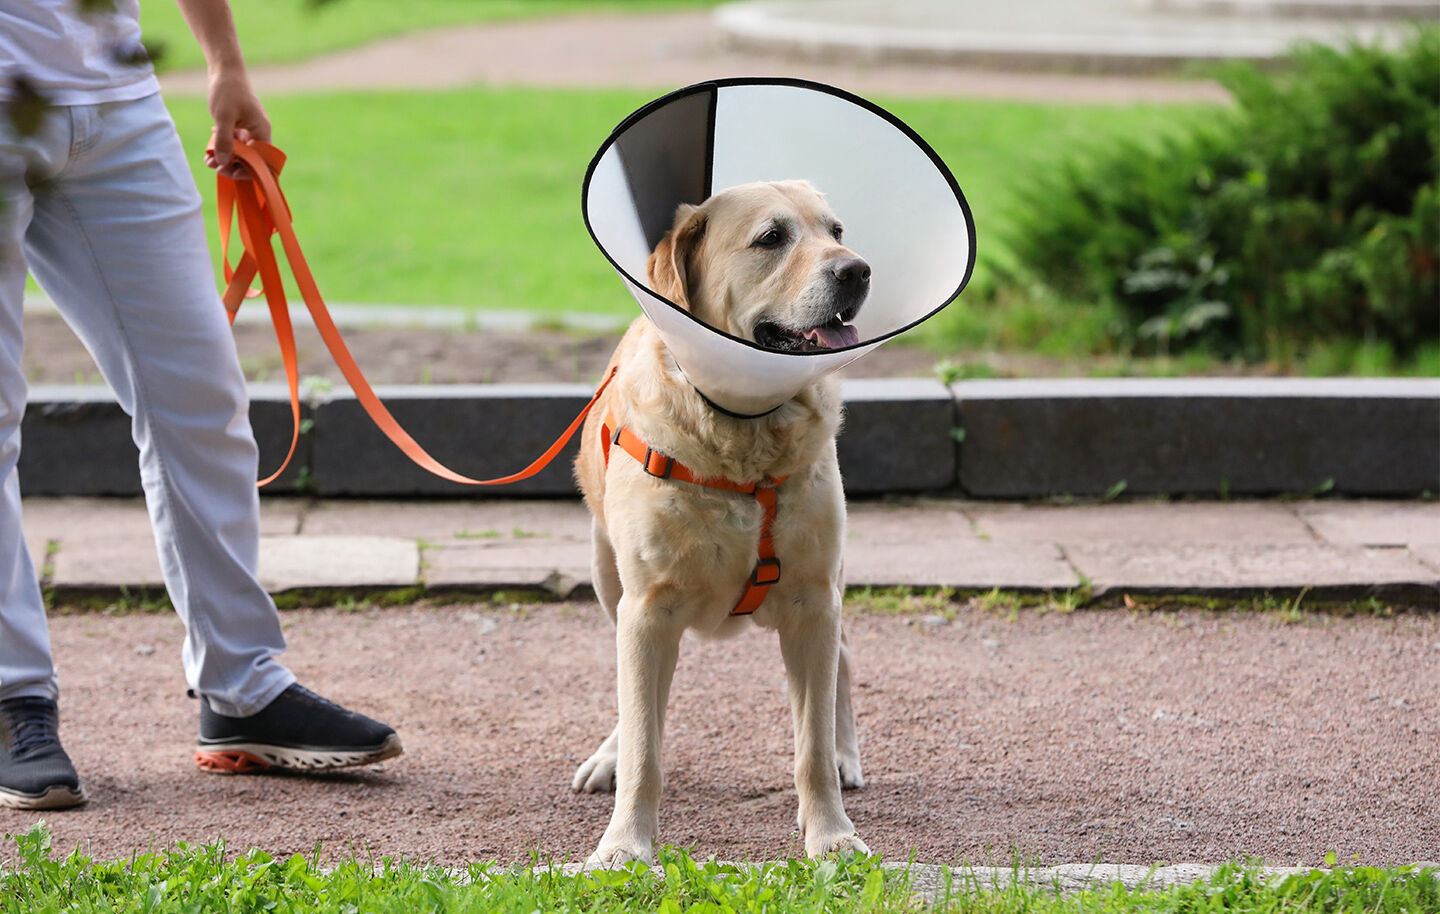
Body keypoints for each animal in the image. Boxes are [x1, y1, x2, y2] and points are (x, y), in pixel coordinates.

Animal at [570, 178, 864, 863]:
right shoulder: (647, 609)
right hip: (606, 574)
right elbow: (646, 746)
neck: (741, 429)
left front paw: (831, 837)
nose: (857, 270)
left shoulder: (812, 600)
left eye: (836, 231)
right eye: (771, 237)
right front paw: (625, 848)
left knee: (840, 660)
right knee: (633, 699)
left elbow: (809, 747)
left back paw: (844, 754)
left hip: (830, 583)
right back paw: (609, 756)